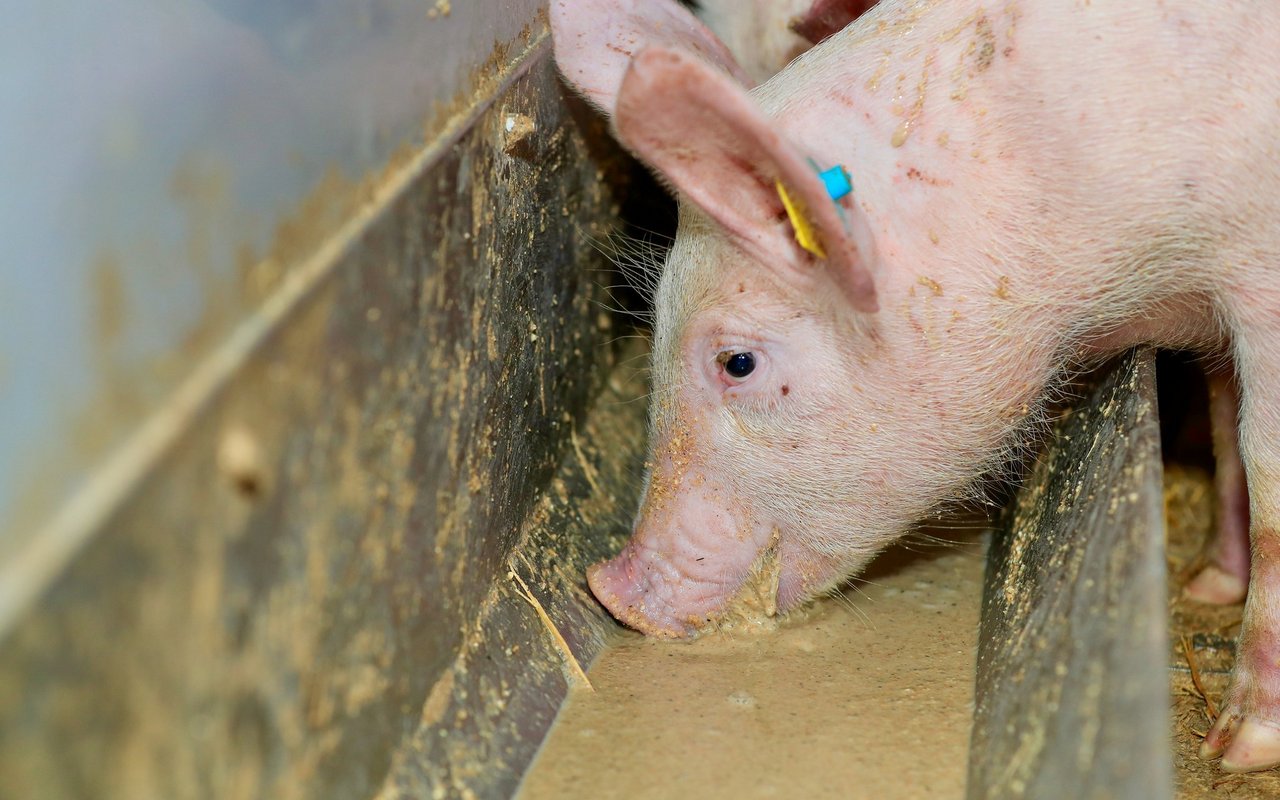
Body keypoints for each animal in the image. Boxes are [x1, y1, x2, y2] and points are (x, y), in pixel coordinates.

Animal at [551, 0, 1280, 772]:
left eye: (738, 362)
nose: (609, 588)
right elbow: (1225, 418)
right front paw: (1211, 582)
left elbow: (1265, 476)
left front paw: (1238, 748)